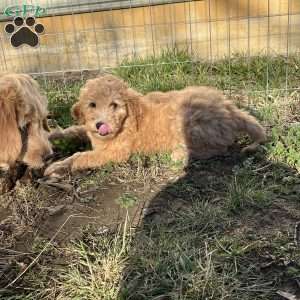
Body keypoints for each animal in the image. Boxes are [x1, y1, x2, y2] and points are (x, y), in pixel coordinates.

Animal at [44, 75, 264, 177]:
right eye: (92, 105)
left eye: (114, 105)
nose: (100, 125)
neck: (127, 119)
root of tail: (228, 107)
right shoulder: (91, 133)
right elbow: (75, 130)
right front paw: (54, 135)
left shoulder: (116, 152)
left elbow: (82, 156)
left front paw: (59, 166)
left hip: (187, 119)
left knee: (216, 148)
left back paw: (179, 155)